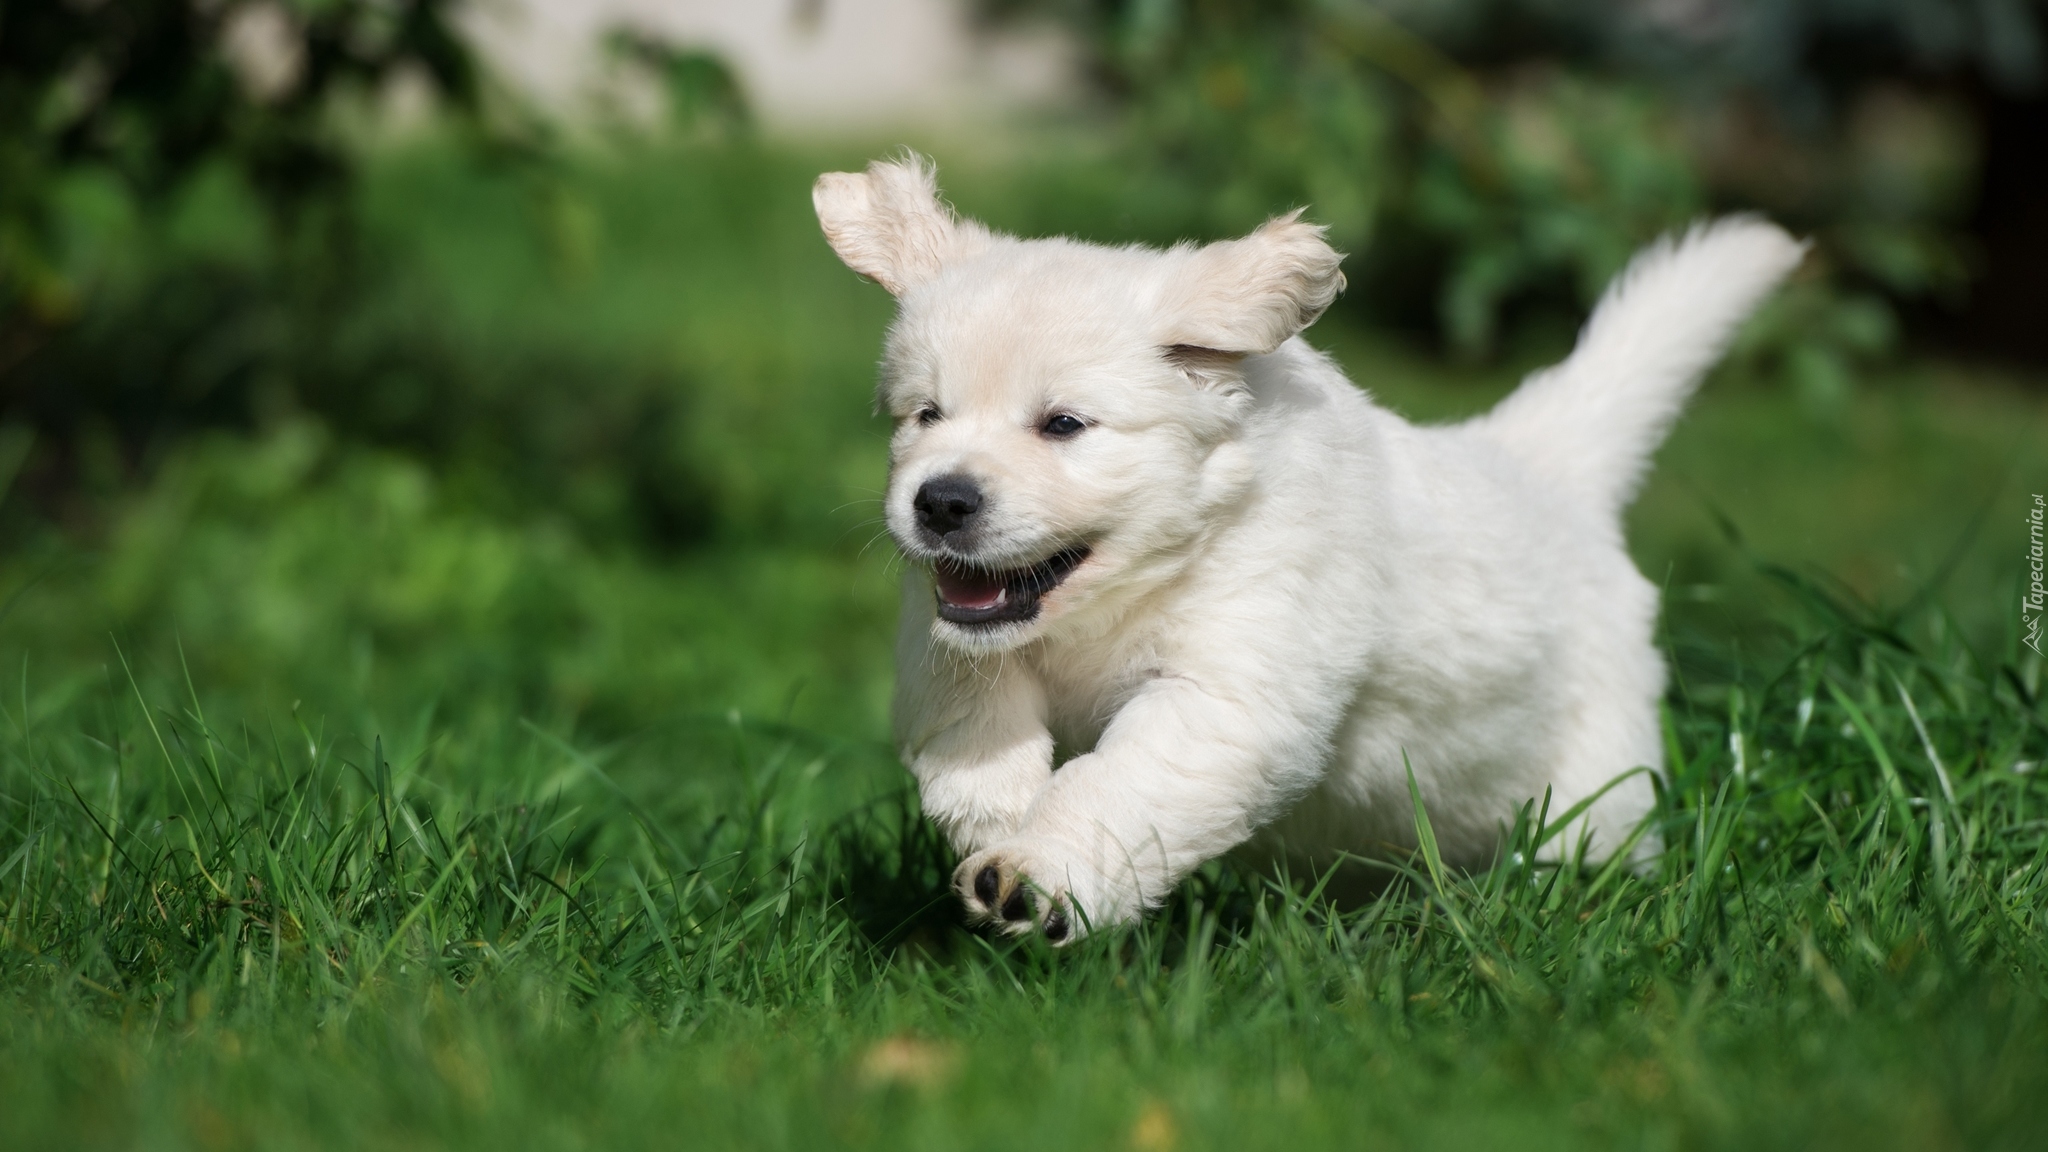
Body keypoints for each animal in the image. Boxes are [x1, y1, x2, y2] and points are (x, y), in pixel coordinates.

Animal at [815, 154, 1810, 942]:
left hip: (1594, 777)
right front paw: (997, 809)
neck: (1137, 586)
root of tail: (1537, 462)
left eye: (1063, 425)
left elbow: (1124, 783)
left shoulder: (1234, 687)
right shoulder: (947, 624)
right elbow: (967, 697)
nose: (940, 502)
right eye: (925, 415)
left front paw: (1037, 872)